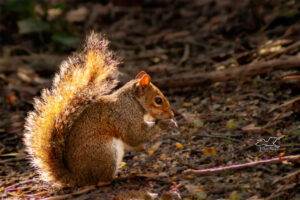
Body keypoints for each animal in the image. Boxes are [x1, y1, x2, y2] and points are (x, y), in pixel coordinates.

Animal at [24, 32, 177, 187]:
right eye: (158, 100)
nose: (171, 114)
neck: (133, 101)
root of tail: (79, 177)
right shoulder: (125, 115)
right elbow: (136, 135)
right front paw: (167, 124)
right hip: (106, 152)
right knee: (102, 181)